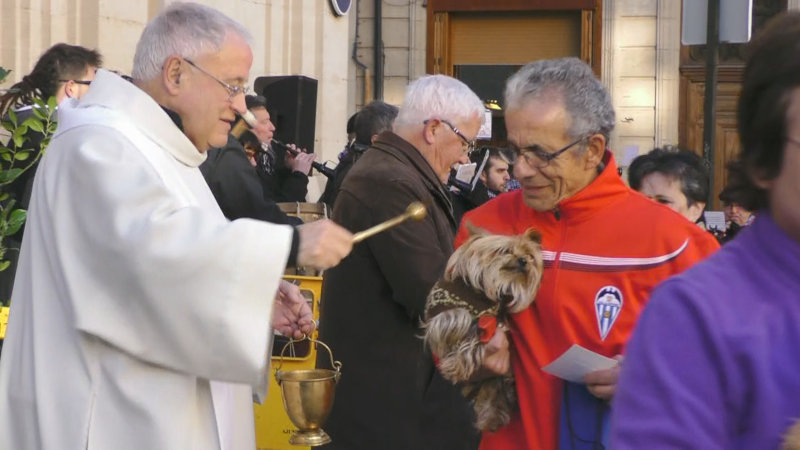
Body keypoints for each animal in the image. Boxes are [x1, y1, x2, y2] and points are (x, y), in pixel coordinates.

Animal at [424, 227, 544, 430]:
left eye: (529, 255)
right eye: (505, 250)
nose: (523, 260)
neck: (479, 293)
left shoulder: (492, 319)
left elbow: (475, 335)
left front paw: (458, 362)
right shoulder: (443, 311)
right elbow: (459, 319)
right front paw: (456, 361)